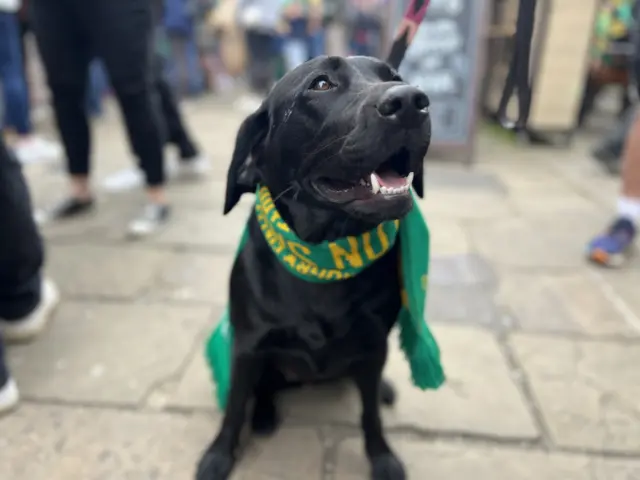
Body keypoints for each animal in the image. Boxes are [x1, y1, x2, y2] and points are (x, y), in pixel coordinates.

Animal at [198, 54, 432, 478]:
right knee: (264, 387)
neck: (325, 256)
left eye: (394, 76)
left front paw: (382, 456)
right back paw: (264, 414)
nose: (411, 101)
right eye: (321, 84)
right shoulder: (247, 346)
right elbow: (234, 406)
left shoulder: (373, 344)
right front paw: (219, 456)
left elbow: (370, 414)